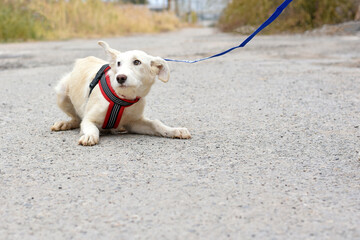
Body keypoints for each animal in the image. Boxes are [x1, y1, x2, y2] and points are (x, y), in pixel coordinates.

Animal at [52, 40, 191, 146]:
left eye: (137, 62)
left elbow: (156, 124)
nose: (120, 78)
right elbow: (91, 127)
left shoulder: (134, 123)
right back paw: (65, 123)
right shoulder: (88, 119)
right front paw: (90, 135)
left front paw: (174, 130)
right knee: (76, 118)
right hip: (62, 92)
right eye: (119, 63)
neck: (123, 97)